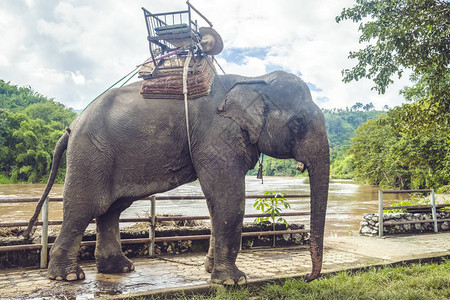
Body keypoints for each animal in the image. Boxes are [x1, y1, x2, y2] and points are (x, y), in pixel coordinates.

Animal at [22, 69, 328, 284]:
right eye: (298, 123)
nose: (307, 277)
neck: (253, 79)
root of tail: (71, 126)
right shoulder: (217, 136)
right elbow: (227, 198)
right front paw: (234, 281)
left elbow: (215, 202)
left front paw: (211, 270)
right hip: (90, 154)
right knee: (85, 207)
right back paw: (69, 276)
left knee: (112, 208)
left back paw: (120, 268)